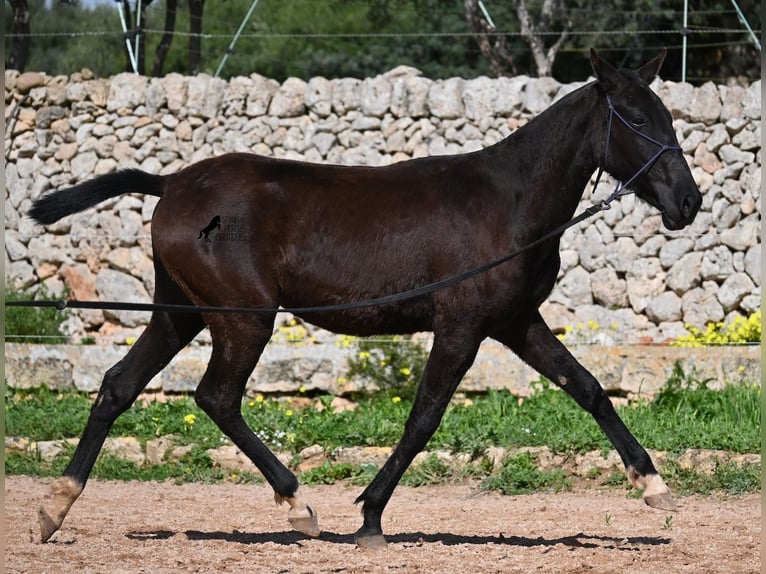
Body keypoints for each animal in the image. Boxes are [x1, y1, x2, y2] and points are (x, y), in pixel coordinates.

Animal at [28, 49, 704, 548]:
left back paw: (55, 508)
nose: (688, 202)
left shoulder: (514, 321)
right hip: (243, 318)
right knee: (216, 396)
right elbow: (424, 416)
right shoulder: (461, 326)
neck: (510, 203)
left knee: (118, 385)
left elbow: (588, 388)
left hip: (180, 312)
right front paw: (371, 516)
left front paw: (654, 485)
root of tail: (170, 183)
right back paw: (299, 505)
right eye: (636, 119)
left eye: (669, 117)